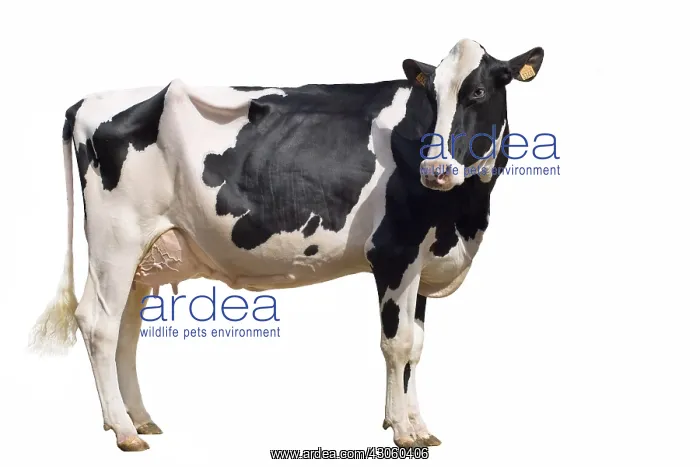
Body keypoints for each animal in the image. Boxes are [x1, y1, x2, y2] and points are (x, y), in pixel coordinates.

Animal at [30, 38, 544, 452]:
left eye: (478, 92)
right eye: (430, 95)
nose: (435, 170)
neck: (462, 219)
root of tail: (90, 100)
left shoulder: (422, 260)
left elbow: (415, 347)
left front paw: (416, 423)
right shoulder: (394, 253)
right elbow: (396, 345)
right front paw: (403, 430)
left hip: (142, 256)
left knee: (126, 330)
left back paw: (140, 419)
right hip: (115, 240)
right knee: (99, 324)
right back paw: (123, 431)